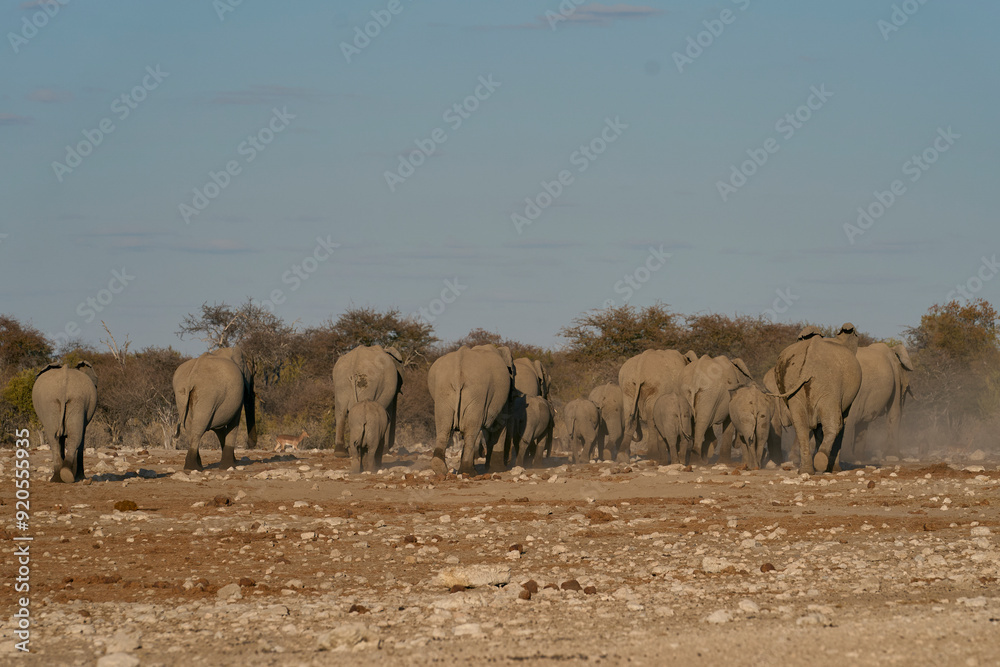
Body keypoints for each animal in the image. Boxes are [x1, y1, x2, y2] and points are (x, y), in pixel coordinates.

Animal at [427, 344, 514, 475]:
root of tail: (459, 364)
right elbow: (500, 424)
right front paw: (498, 470)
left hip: (443, 390)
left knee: (444, 428)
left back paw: (440, 468)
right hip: (477, 391)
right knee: (471, 431)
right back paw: (468, 472)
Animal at [773, 326, 862, 474]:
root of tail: (809, 362)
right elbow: (841, 423)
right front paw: (834, 469)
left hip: (795, 382)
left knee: (801, 427)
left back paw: (807, 470)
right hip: (830, 385)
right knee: (835, 424)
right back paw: (821, 462)